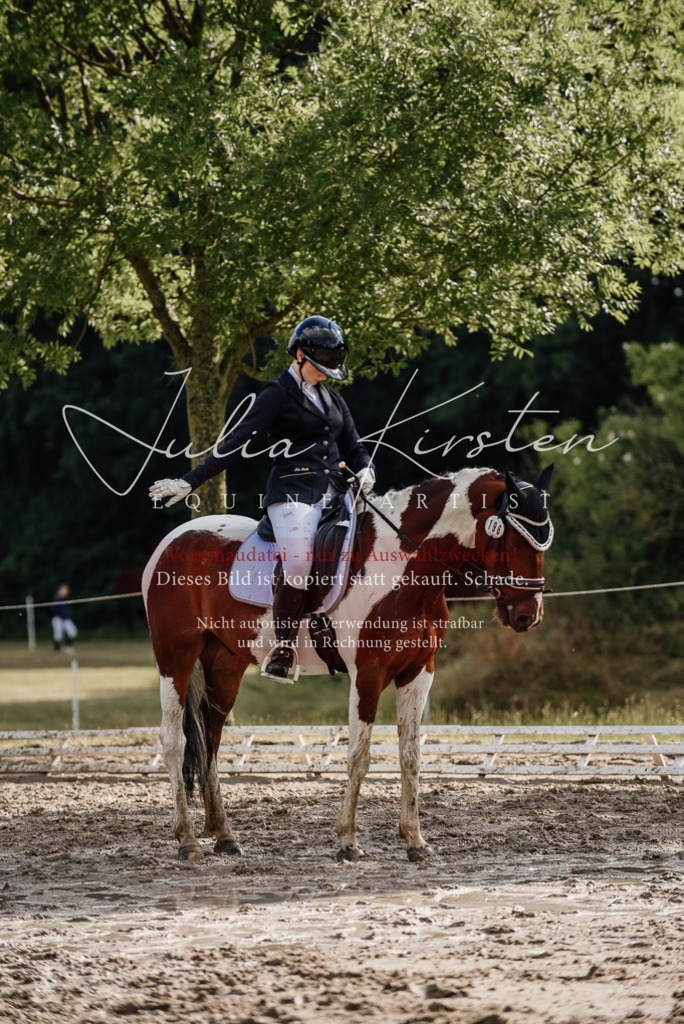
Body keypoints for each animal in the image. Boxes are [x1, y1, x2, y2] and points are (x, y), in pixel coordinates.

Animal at [142, 465, 553, 862]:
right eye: (515, 539)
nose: (528, 616)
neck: (404, 568)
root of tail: (173, 538)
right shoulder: (367, 674)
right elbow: (359, 756)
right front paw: (348, 842)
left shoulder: (418, 672)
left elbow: (411, 756)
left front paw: (415, 841)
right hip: (176, 656)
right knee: (174, 740)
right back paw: (187, 840)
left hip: (225, 664)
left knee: (211, 740)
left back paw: (225, 836)